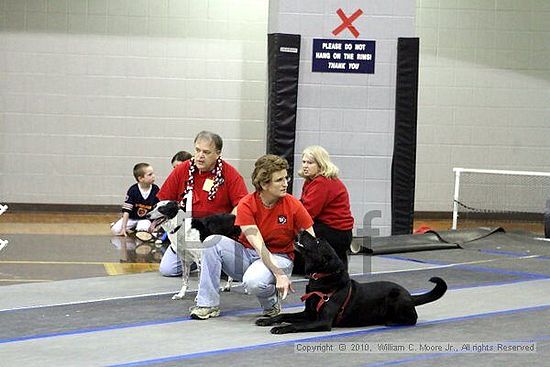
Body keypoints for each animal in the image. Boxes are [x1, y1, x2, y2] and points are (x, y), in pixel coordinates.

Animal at [258, 234, 448, 334]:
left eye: (317, 241)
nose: (302, 230)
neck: (321, 279)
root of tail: (410, 295)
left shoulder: (322, 321)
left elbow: (297, 325)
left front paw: (281, 329)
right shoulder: (309, 314)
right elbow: (285, 315)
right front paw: (267, 321)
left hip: (397, 299)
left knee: (413, 319)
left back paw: (391, 321)